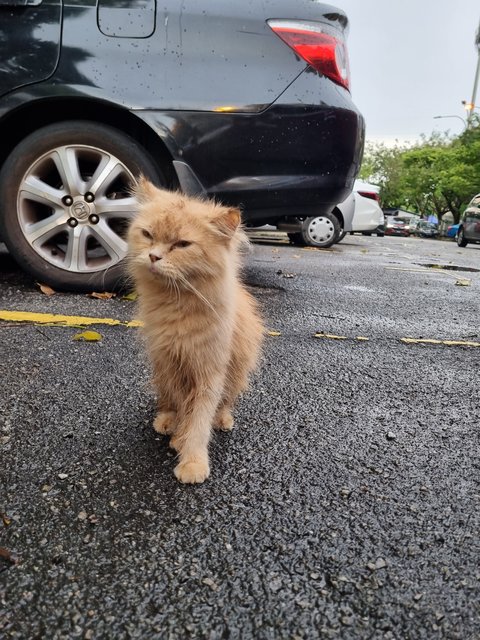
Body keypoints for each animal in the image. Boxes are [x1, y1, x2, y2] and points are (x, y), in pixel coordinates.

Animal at [126, 178, 262, 482]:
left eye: (182, 244)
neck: (177, 305)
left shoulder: (210, 371)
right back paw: (166, 421)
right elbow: (183, 407)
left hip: (235, 375)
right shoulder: (172, 362)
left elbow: (199, 419)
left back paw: (222, 420)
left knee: (224, 404)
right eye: (147, 234)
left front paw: (192, 461)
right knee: (167, 402)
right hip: (161, 373)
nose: (153, 256)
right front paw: (179, 435)